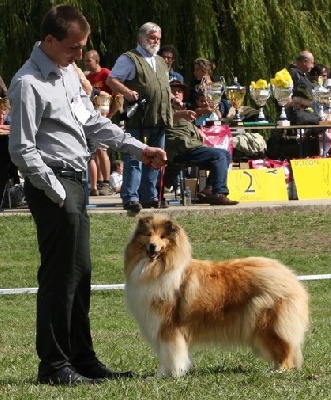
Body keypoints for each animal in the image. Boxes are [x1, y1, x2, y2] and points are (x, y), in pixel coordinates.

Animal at [123, 214, 310, 376]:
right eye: (148, 235)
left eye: (162, 237)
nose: (152, 246)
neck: (155, 268)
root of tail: (289, 276)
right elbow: (164, 356)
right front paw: (159, 376)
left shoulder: (168, 328)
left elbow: (170, 355)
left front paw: (171, 375)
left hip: (268, 324)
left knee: (285, 349)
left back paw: (279, 371)